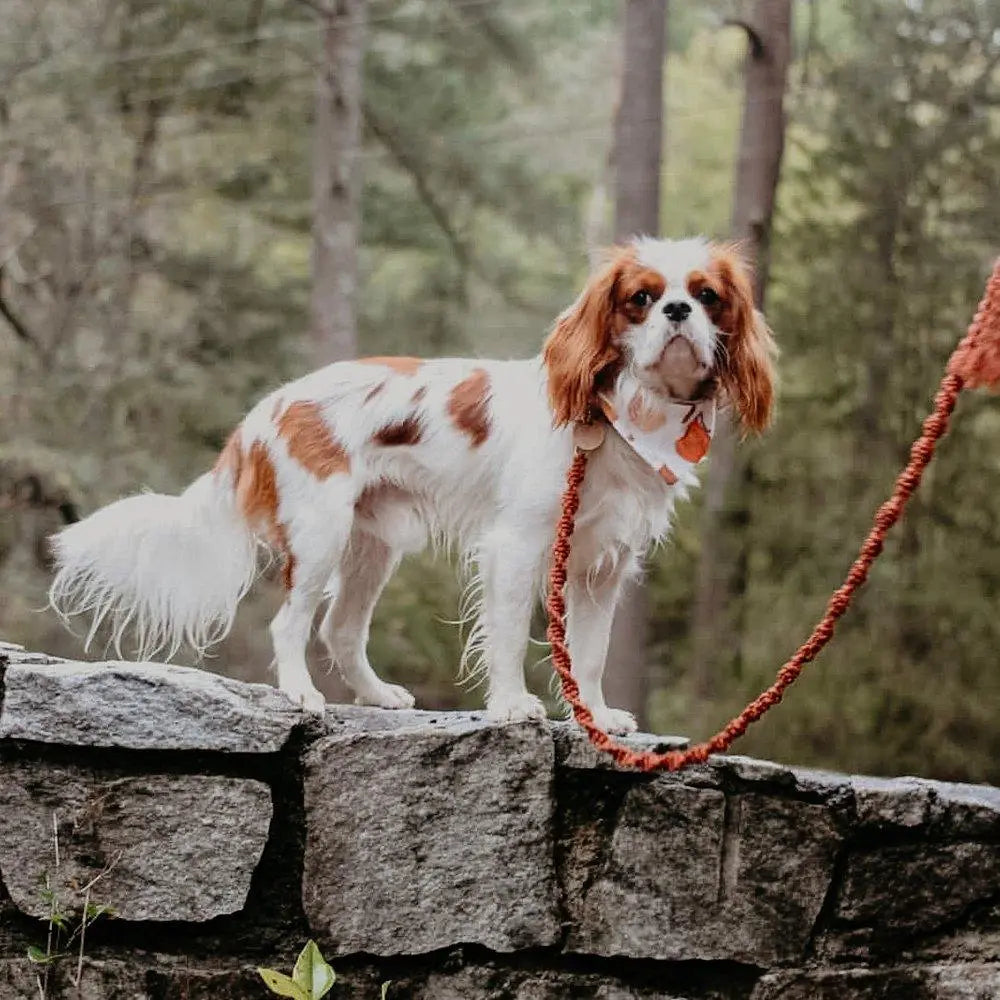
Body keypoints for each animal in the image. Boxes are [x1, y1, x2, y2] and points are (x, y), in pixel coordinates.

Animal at [48, 234, 772, 736]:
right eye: (641, 298)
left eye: (706, 295)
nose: (677, 310)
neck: (626, 416)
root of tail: (267, 409)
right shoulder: (517, 546)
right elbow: (510, 632)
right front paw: (511, 705)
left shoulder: (602, 565)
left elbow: (588, 656)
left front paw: (594, 716)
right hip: (321, 534)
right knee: (292, 622)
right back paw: (301, 693)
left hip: (373, 546)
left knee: (340, 629)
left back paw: (375, 696)